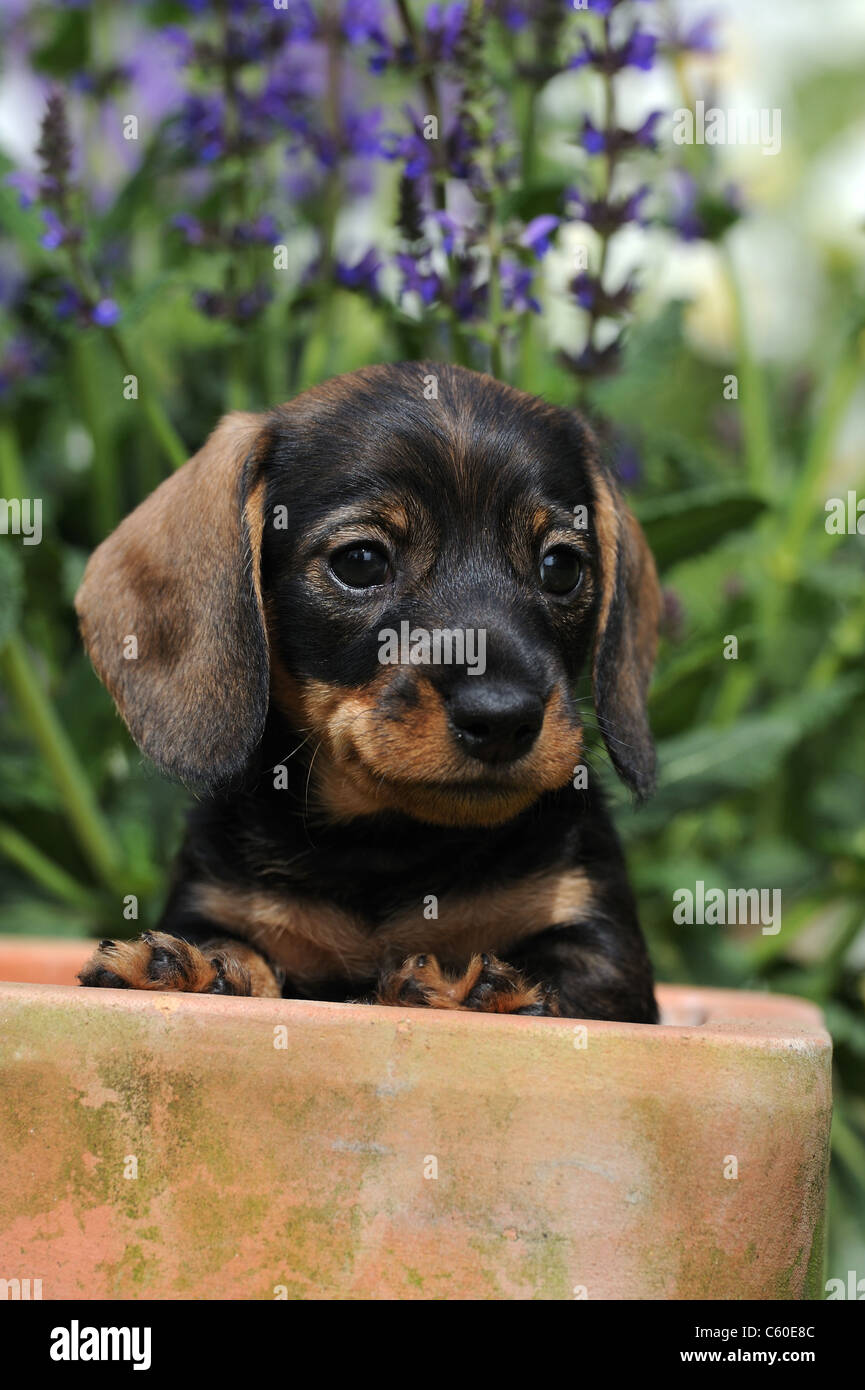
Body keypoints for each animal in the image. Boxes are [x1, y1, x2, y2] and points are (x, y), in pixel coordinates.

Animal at [77, 366, 661, 1023]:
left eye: (561, 567)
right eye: (360, 561)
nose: (502, 719)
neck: (385, 846)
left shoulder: (601, 949)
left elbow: (559, 984)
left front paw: (479, 992)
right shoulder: (216, 903)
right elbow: (236, 947)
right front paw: (197, 971)